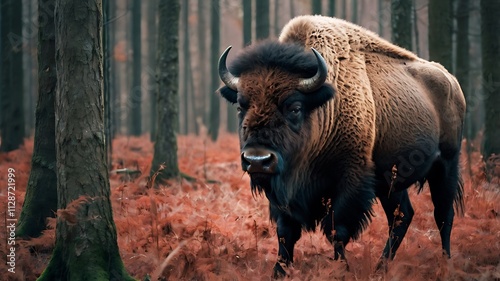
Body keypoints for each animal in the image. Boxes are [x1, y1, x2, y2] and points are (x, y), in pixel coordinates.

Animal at [217, 15, 466, 276]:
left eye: (294, 107)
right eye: (241, 106)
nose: (257, 160)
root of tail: (452, 82)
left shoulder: (350, 181)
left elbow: (337, 229)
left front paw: (342, 269)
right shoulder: (282, 192)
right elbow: (286, 233)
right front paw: (279, 272)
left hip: (446, 165)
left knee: (443, 214)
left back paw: (445, 263)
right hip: (390, 181)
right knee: (402, 217)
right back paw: (381, 268)